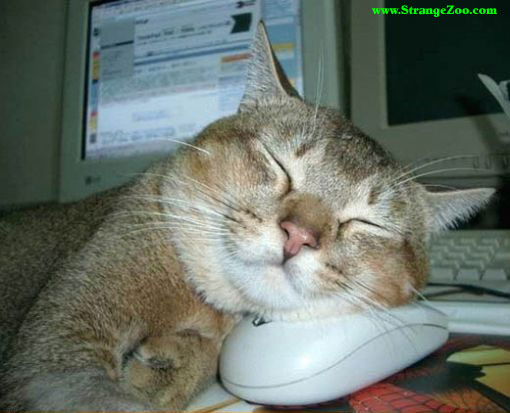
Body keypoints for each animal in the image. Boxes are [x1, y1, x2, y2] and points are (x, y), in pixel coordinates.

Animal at [0, 22, 493, 411]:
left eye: (366, 223)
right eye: (279, 164)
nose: (298, 236)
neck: (202, 302)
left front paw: (167, 364)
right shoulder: (60, 346)